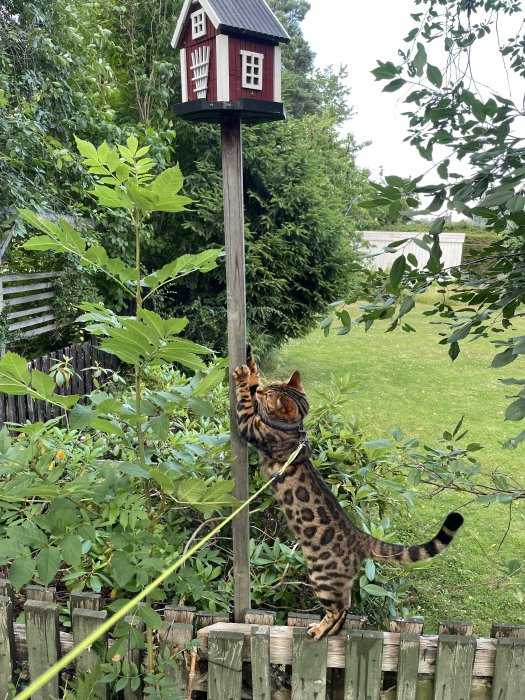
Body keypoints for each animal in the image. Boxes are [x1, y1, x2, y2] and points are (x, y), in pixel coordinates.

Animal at [233, 348, 462, 640]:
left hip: (323, 577)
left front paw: (243, 378)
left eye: (267, 396)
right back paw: (328, 631)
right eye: (267, 388)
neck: (292, 429)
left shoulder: (251, 426)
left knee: (340, 608)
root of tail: (361, 536)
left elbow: (244, 401)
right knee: (347, 606)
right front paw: (250, 367)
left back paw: (320, 629)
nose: (262, 390)